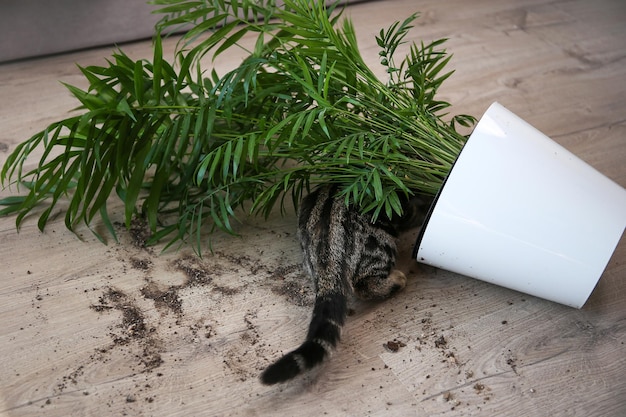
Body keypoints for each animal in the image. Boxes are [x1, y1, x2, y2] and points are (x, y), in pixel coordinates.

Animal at [258, 184, 428, 386]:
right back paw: (396, 280)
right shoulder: (400, 208)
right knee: (364, 284)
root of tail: (326, 249)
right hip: (380, 239)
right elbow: (415, 212)